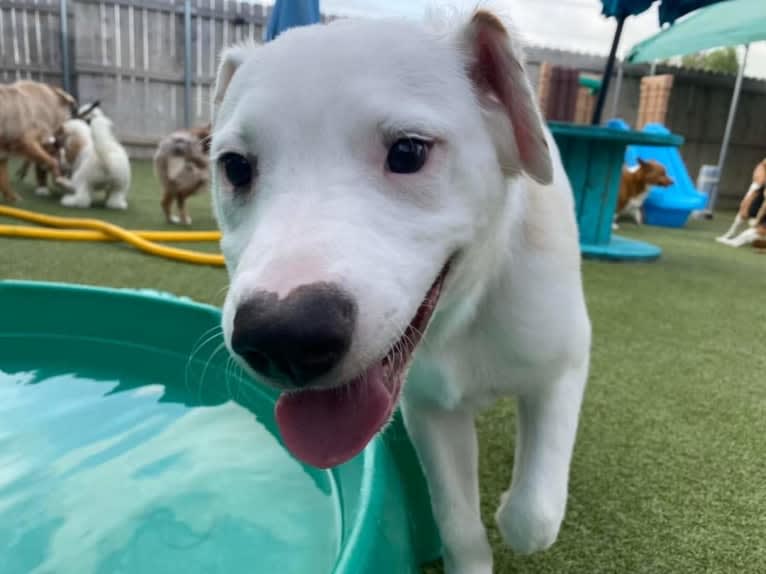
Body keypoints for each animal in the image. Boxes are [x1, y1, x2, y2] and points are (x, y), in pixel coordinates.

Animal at [213, 9, 592, 574]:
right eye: (235, 167)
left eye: (409, 151)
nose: (284, 339)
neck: (465, 317)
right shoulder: (430, 410)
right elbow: (458, 524)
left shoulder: (562, 365)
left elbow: (535, 516)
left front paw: (512, 509)